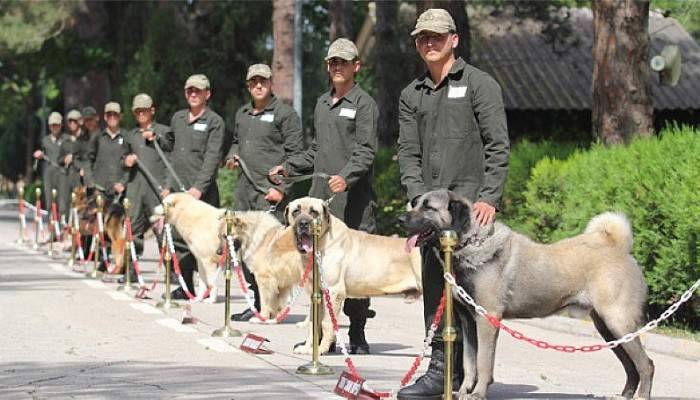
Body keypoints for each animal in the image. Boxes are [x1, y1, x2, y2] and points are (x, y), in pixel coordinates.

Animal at [286, 196, 422, 354]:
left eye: (314, 212)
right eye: (296, 211)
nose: (303, 223)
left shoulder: (333, 291)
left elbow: (327, 323)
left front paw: (321, 349)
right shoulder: (316, 293)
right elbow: (313, 323)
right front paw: (307, 348)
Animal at [402, 191, 652, 400]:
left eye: (429, 207)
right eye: (415, 203)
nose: (400, 219)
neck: (471, 242)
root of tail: (618, 248)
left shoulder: (487, 319)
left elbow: (483, 362)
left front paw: (478, 394)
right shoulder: (468, 321)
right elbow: (469, 362)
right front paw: (464, 391)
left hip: (618, 321)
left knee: (646, 365)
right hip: (608, 329)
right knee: (631, 366)